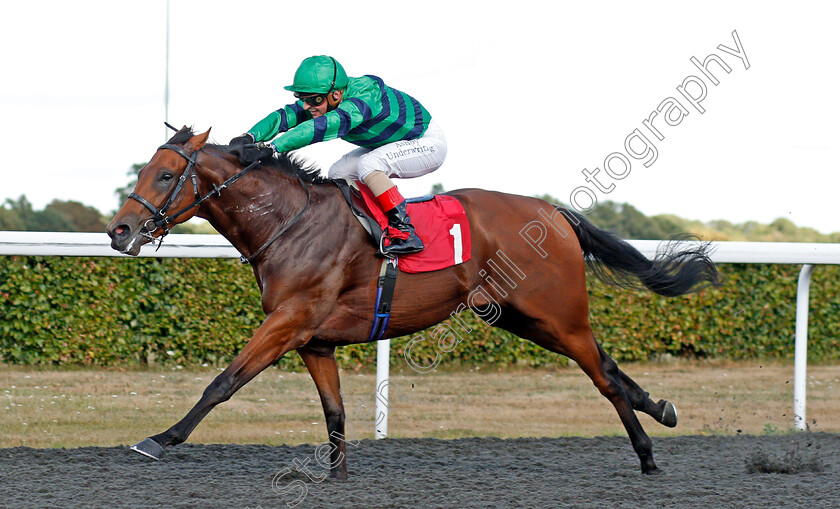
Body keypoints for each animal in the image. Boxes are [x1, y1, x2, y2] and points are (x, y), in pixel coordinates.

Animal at [106, 125, 720, 474]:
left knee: (604, 379)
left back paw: (647, 456)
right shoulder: (313, 339)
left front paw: (159, 440)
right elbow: (334, 411)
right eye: (145, 170)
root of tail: (552, 212)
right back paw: (661, 411)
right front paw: (336, 474)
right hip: (522, 318)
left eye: (165, 175)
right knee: (609, 366)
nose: (119, 230)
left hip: (558, 314)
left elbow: (223, 382)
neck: (289, 222)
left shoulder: (289, 321)